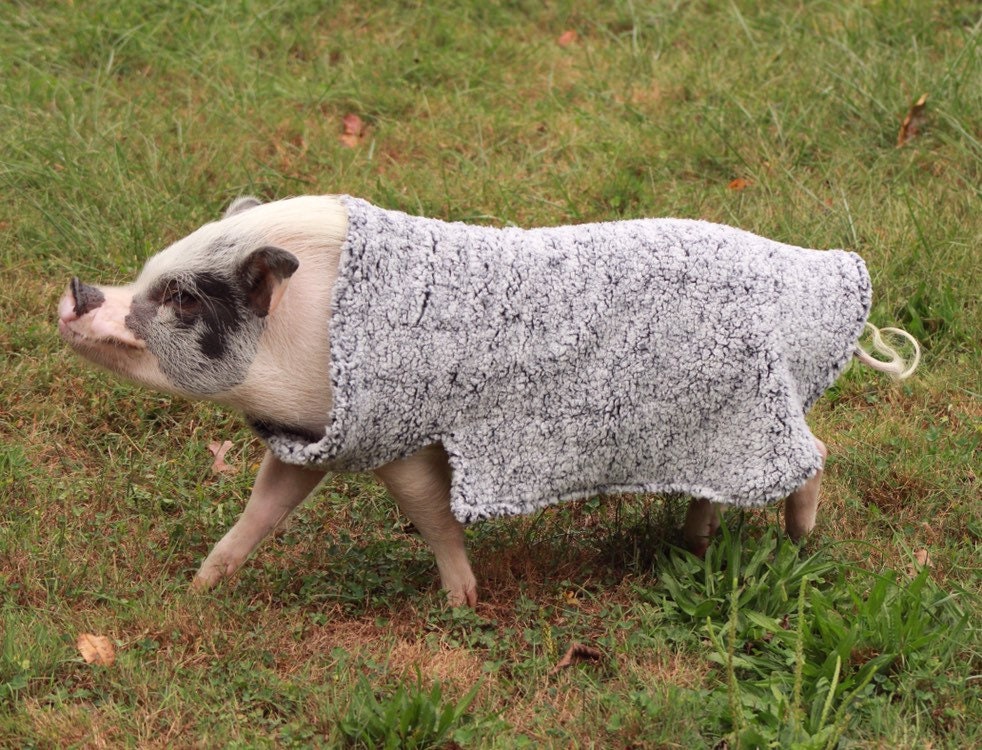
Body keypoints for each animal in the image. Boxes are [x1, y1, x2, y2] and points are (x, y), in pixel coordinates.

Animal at [58, 195, 919, 606]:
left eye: (181, 299)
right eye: (152, 271)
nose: (79, 292)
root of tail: (822, 278)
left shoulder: (403, 436)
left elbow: (431, 513)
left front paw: (465, 605)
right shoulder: (312, 438)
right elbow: (263, 510)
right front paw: (199, 587)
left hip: (759, 411)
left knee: (817, 457)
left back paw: (800, 546)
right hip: (709, 431)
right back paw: (694, 547)